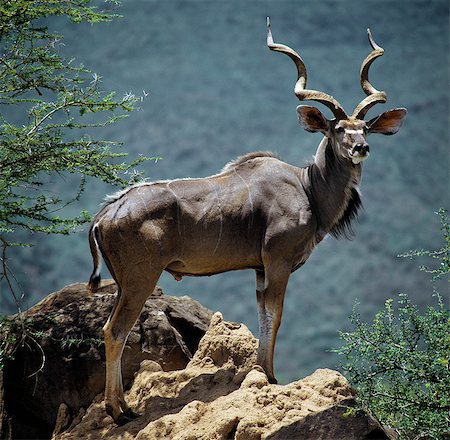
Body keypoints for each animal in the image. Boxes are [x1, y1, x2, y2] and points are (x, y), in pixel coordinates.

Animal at [87, 18, 404, 424]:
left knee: (109, 328)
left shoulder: (259, 269)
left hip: (124, 282)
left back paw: (122, 406)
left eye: (364, 128)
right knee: (115, 331)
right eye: (337, 129)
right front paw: (270, 376)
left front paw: (263, 373)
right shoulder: (278, 261)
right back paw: (119, 411)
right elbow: (276, 315)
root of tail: (105, 213)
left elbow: (263, 316)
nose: (361, 148)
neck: (308, 187)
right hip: (141, 278)